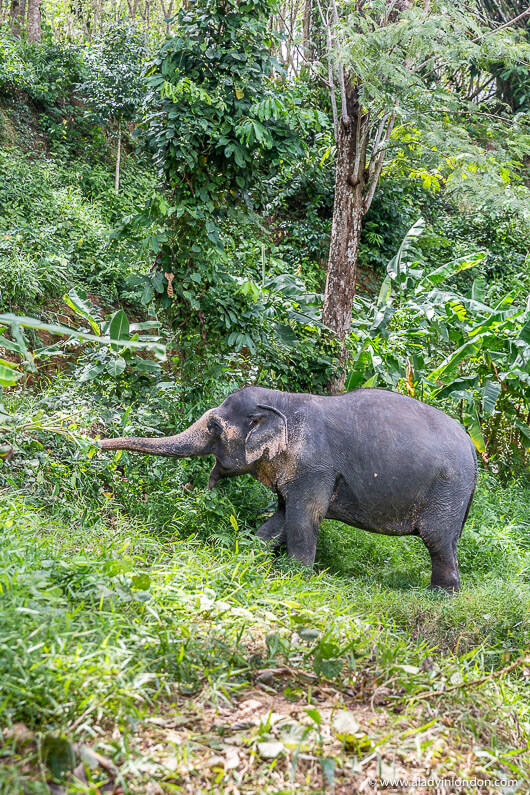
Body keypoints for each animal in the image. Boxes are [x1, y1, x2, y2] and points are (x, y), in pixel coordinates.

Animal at [98, 386, 478, 592]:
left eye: (214, 426)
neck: (284, 402)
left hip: (447, 487)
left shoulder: (315, 467)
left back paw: (438, 596)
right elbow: (279, 519)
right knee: (448, 541)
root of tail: (474, 449)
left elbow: (303, 518)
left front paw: (295, 578)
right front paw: (249, 558)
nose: (97, 442)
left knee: (436, 539)